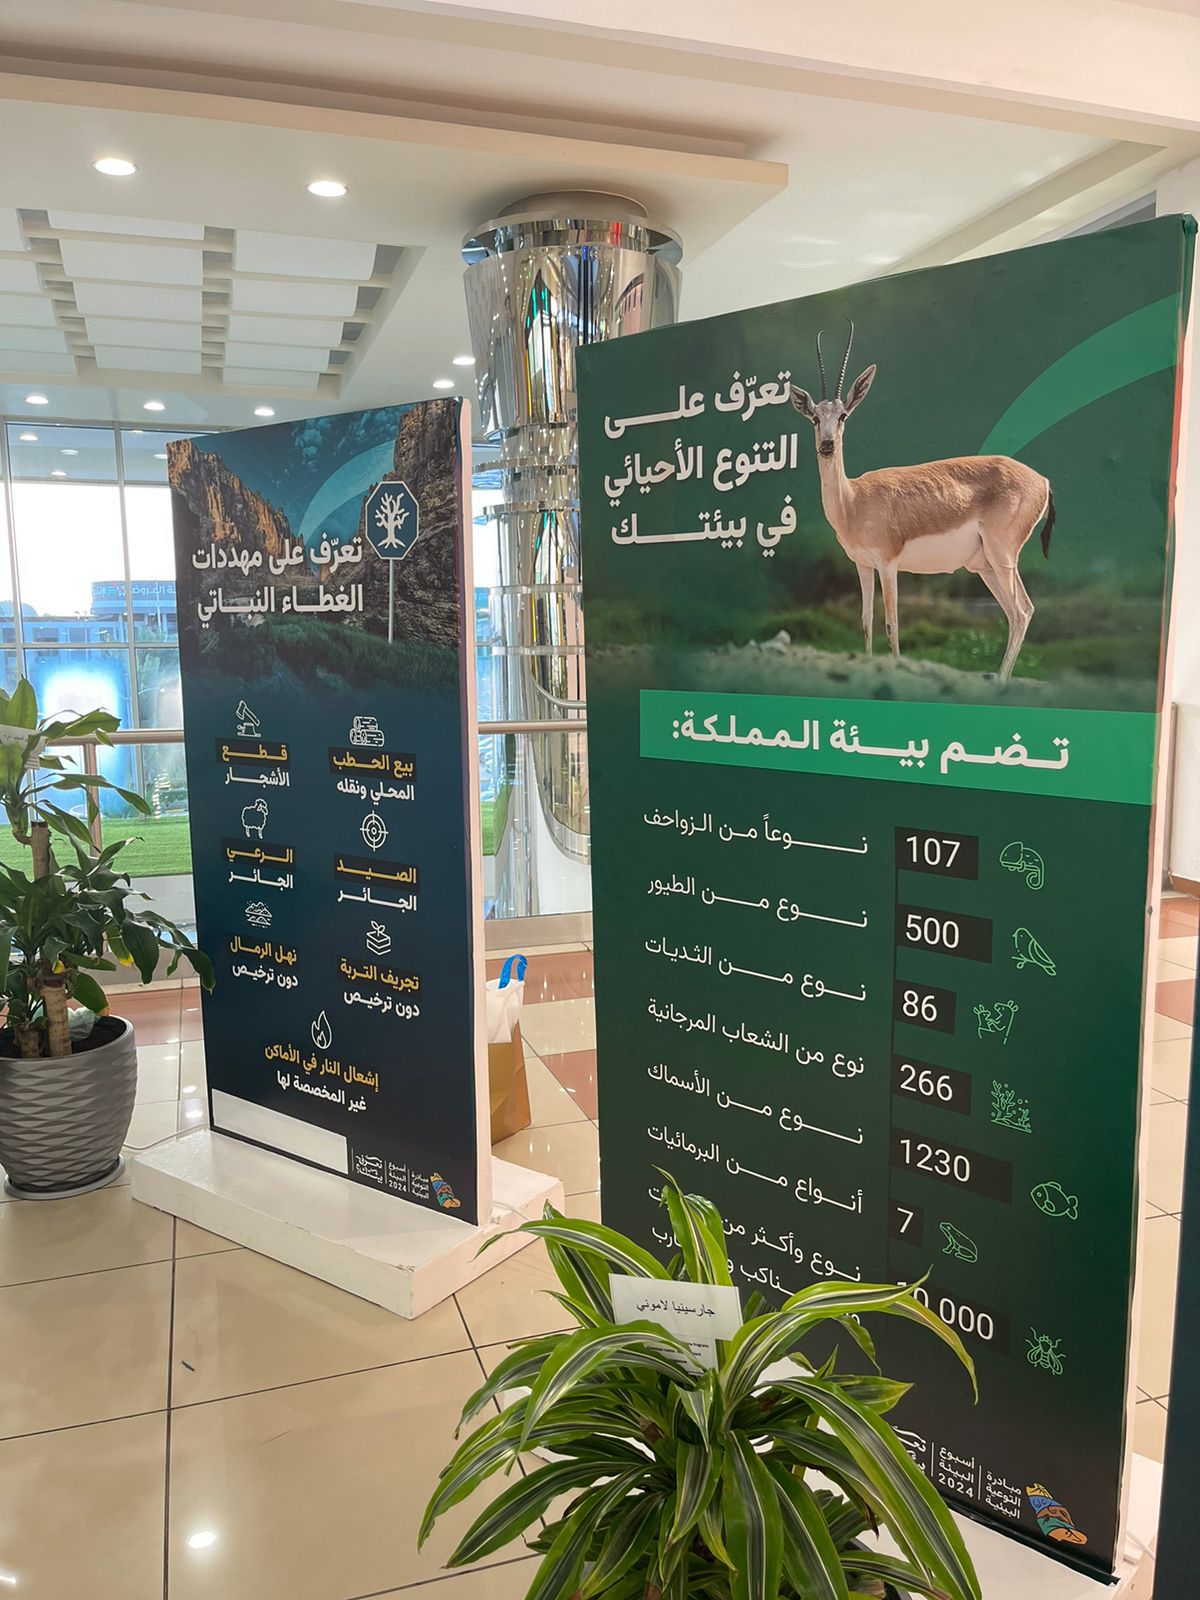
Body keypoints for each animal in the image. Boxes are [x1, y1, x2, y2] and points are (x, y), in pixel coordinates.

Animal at [790, 323, 1054, 681]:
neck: (854, 500)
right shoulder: (862, 565)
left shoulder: (888, 564)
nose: (828, 445)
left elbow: (891, 625)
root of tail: (1042, 481)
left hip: (1003, 557)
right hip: (984, 565)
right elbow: (866, 623)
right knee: (1015, 613)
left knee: (1022, 611)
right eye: (816, 418)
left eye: (843, 415)